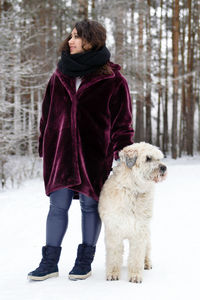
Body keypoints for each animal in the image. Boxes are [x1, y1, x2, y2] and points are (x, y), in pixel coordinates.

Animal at [99, 142, 167, 282]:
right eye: (148, 158)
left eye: (159, 158)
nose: (164, 168)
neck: (133, 189)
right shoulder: (114, 230)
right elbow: (114, 255)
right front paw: (113, 273)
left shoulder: (139, 231)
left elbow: (136, 256)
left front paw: (135, 276)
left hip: (147, 232)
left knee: (147, 249)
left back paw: (147, 263)